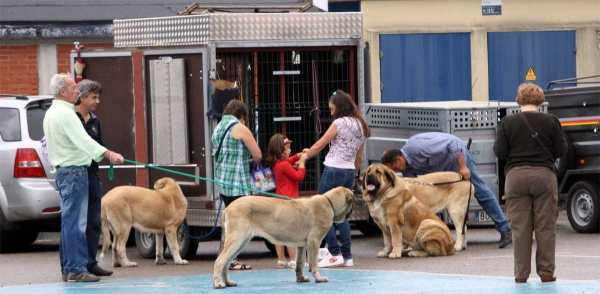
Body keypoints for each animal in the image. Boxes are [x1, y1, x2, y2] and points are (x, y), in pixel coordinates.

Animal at [214, 187, 356, 288]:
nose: (351, 213)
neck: (329, 202)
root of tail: (228, 208)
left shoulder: (301, 245)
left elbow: (299, 264)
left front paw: (301, 279)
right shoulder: (314, 242)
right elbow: (314, 263)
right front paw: (319, 278)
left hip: (241, 242)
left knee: (226, 263)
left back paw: (228, 282)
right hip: (236, 240)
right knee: (219, 261)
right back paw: (218, 284)